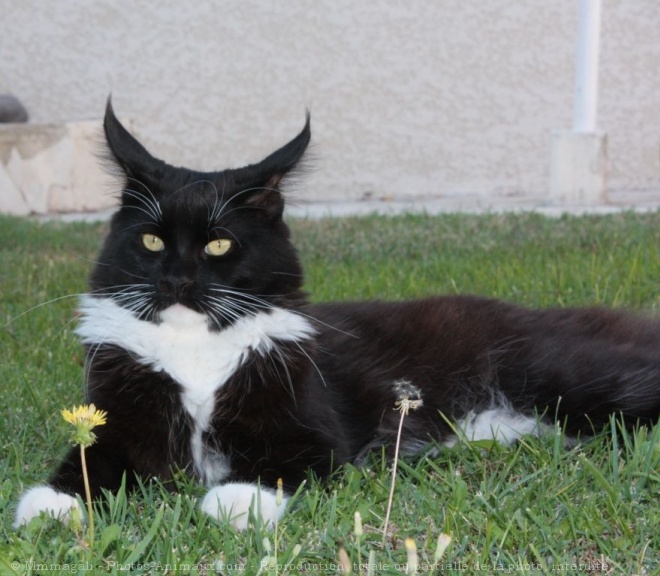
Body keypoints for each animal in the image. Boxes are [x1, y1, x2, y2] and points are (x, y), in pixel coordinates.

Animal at [14, 99, 660, 532]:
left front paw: (232, 501)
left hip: (570, 379)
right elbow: (87, 462)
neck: (195, 350)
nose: (175, 279)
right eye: (151, 241)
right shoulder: (118, 417)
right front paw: (52, 506)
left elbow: (275, 468)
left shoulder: (313, 433)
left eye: (218, 245)